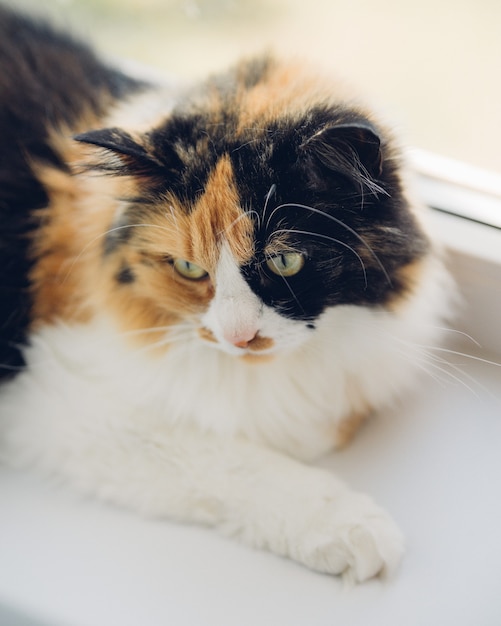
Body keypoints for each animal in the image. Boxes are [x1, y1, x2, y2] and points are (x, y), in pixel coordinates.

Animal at [0, 4, 454, 580]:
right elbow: (229, 458)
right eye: (189, 268)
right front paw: (354, 529)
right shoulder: (57, 398)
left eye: (285, 261)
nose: (239, 339)